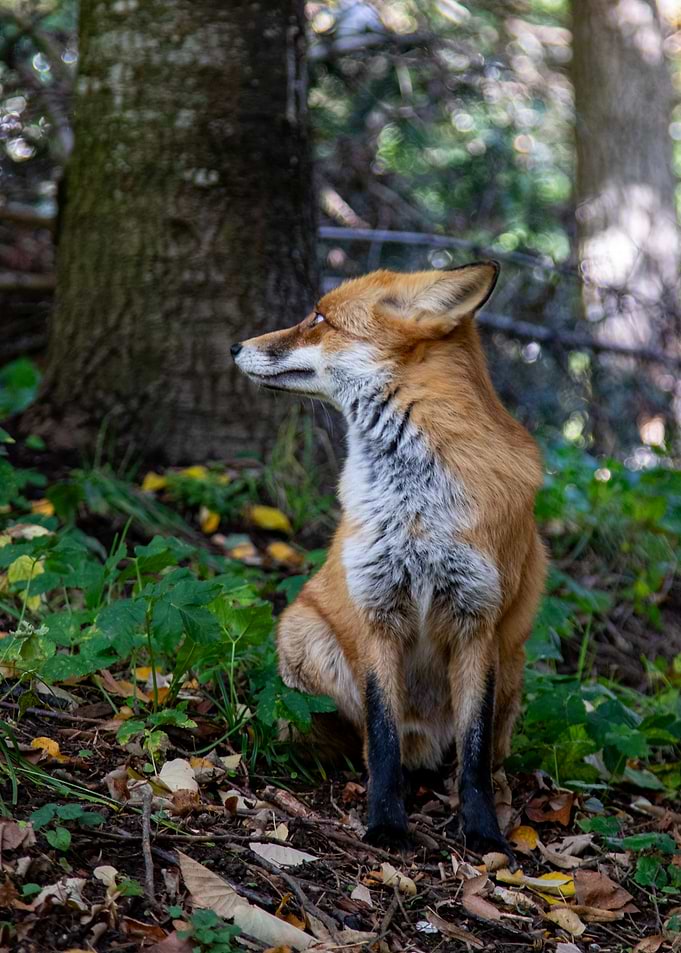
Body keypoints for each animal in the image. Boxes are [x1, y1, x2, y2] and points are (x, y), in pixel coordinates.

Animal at [231, 261, 547, 858]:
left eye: (319, 319)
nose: (235, 345)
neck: (414, 507)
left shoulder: (477, 621)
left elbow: (473, 756)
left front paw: (483, 833)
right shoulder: (377, 610)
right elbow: (381, 737)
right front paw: (384, 823)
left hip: (513, 664)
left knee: (476, 755)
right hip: (302, 631)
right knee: (355, 738)